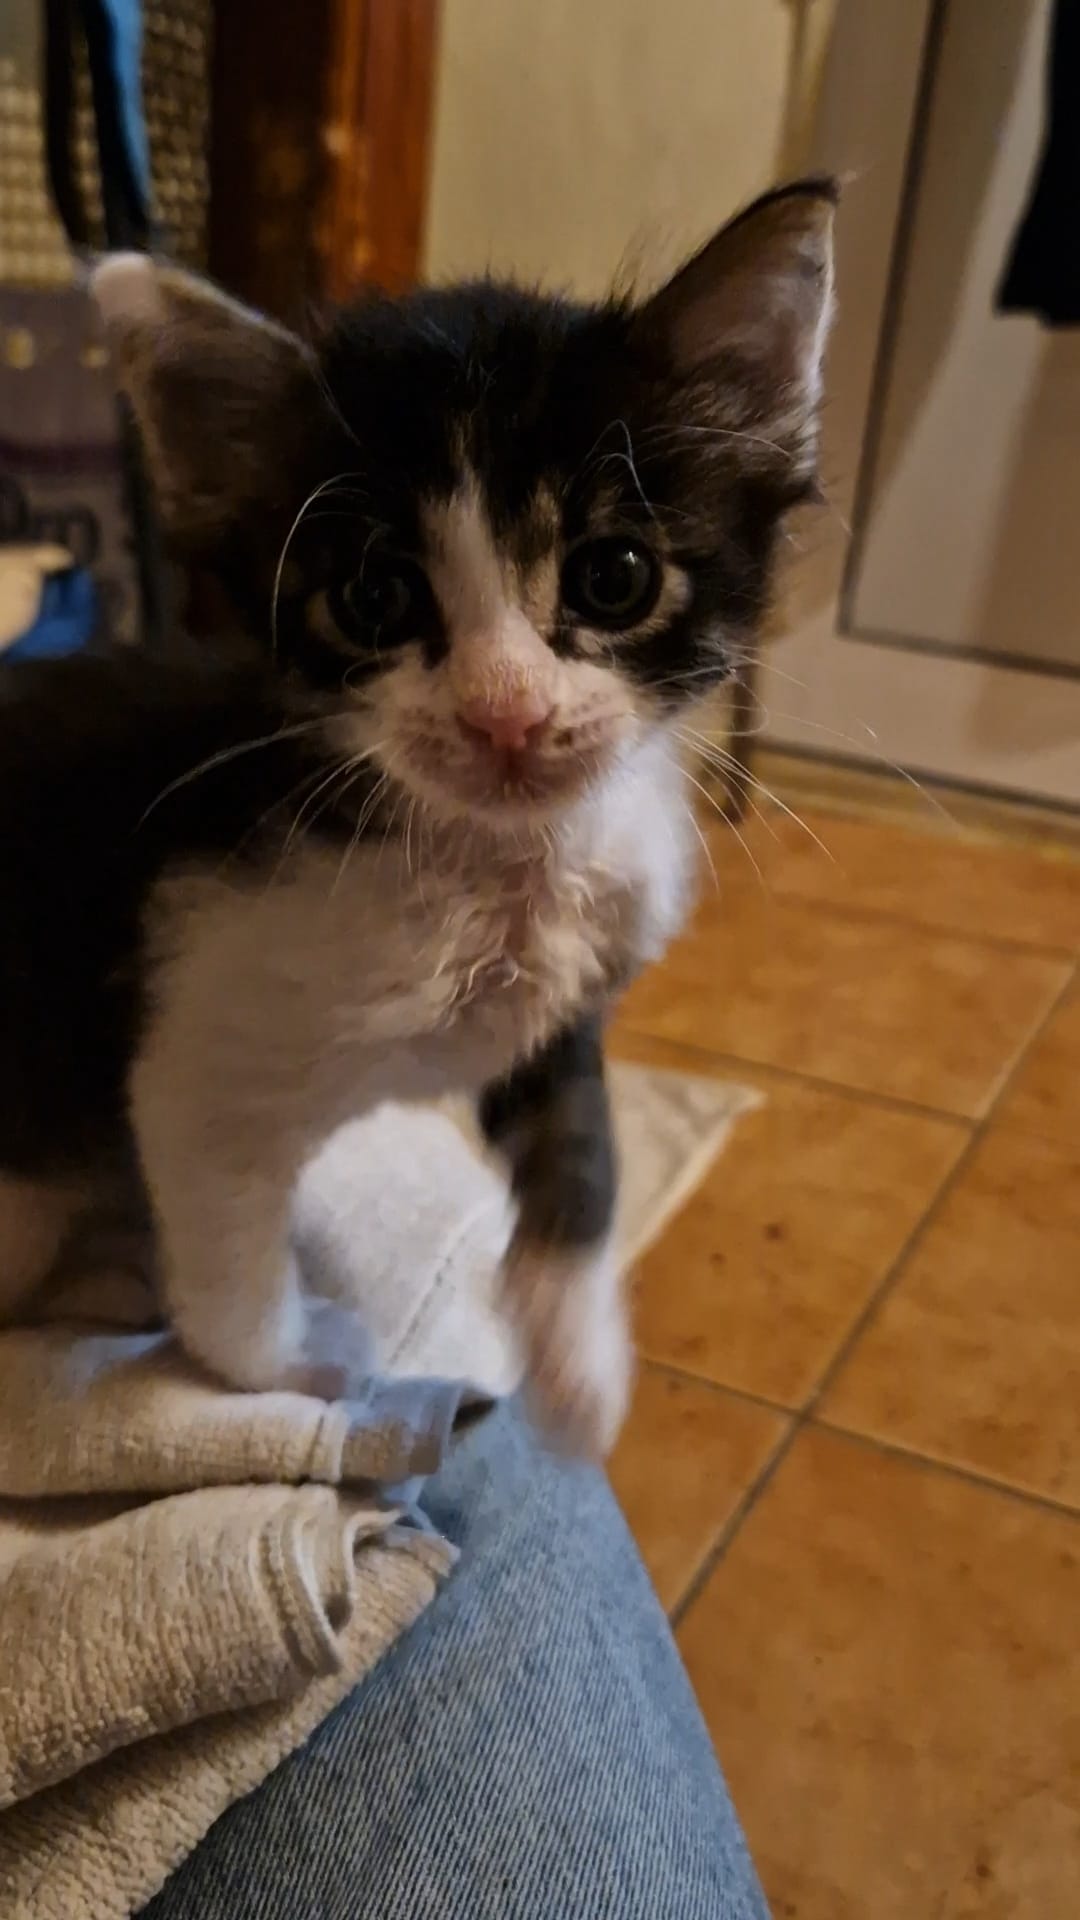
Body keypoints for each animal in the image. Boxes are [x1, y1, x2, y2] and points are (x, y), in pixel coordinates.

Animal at [0, 179, 835, 1456]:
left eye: (614, 578)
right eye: (375, 596)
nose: (507, 713)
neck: (491, 864)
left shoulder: (565, 1008)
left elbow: (583, 1156)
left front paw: (578, 1360)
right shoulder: (198, 1045)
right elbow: (229, 1267)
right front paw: (300, 1376)